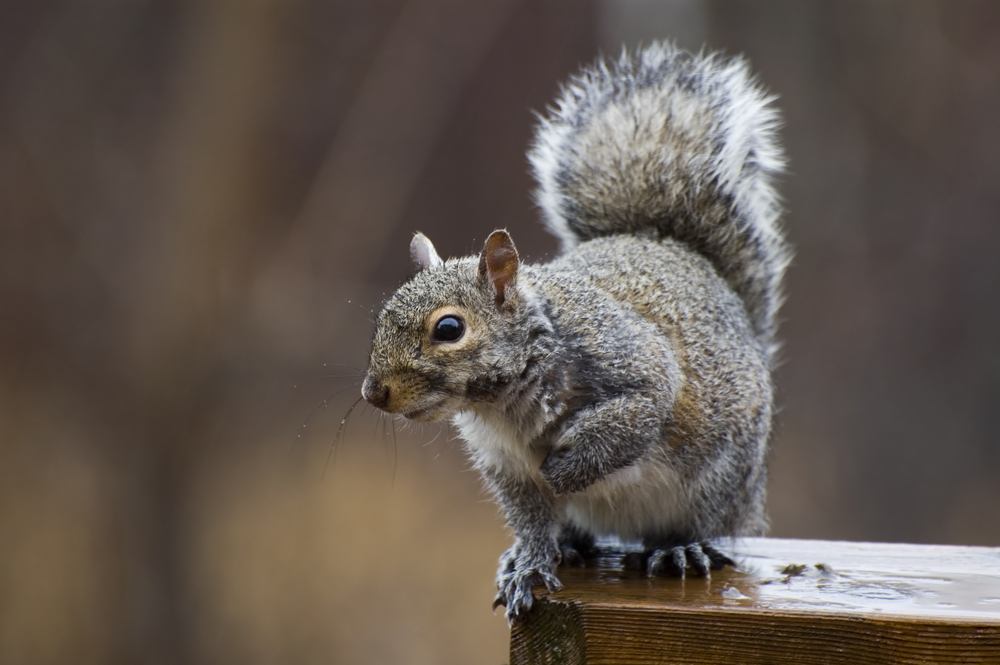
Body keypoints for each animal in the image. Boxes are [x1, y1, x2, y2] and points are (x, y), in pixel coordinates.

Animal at [360, 42, 788, 624]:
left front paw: (564, 469)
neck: (504, 404)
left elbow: (631, 418)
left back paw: (679, 546)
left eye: (449, 328)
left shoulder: (634, 370)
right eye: (382, 316)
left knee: (699, 525)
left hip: (719, 484)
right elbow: (533, 518)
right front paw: (531, 563)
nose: (373, 393)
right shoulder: (506, 467)